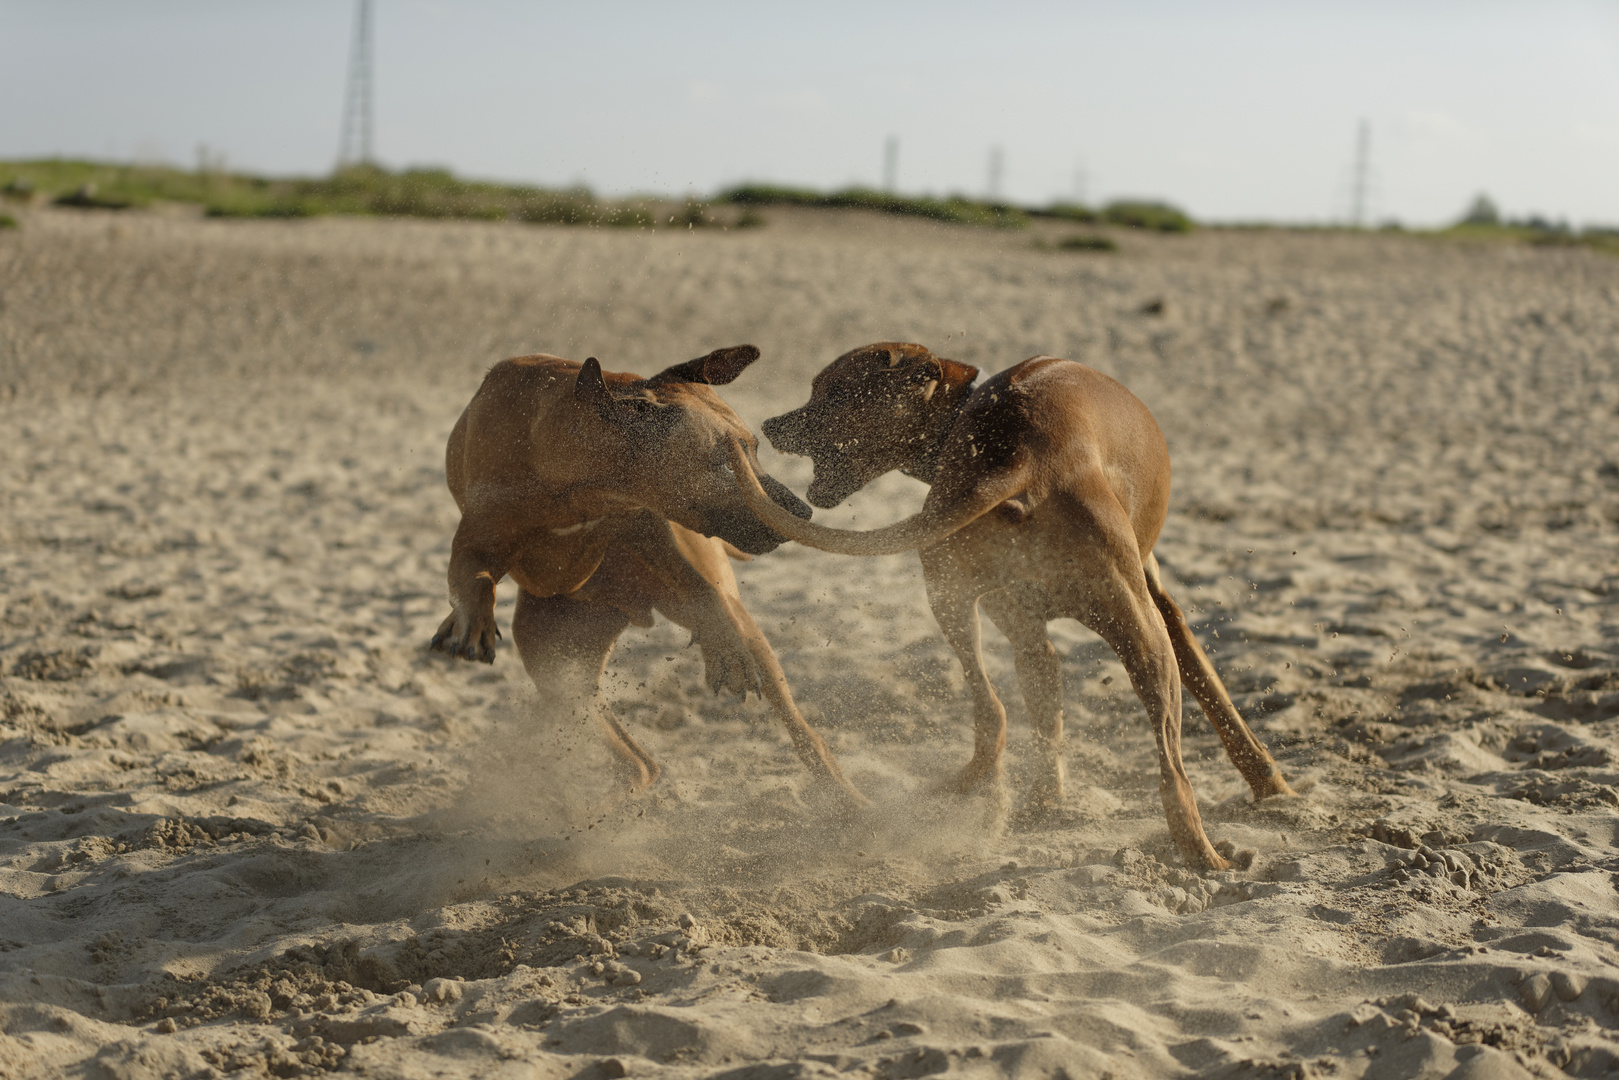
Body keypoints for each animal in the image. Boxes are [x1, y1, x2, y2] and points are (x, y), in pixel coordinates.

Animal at [427, 344, 861, 803]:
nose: (803, 513)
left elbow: (698, 586)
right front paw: (472, 623)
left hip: (729, 625)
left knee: (802, 730)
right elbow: (474, 580)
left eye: (754, 448)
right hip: (554, 661)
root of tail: (632, 607)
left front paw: (726, 651)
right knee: (637, 762)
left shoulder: (647, 524)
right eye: (725, 463)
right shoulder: (476, 541)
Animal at [731, 344, 1288, 867]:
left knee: (992, 713)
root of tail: (1022, 456)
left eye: (836, 393)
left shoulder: (1030, 638)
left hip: (949, 596)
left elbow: (1047, 714)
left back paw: (954, 794)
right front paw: (1272, 784)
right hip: (1143, 633)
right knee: (1169, 766)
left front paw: (1047, 802)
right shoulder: (1162, 608)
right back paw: (1202, 850)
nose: (769, 426)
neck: (964, 417)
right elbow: (1215, 695)